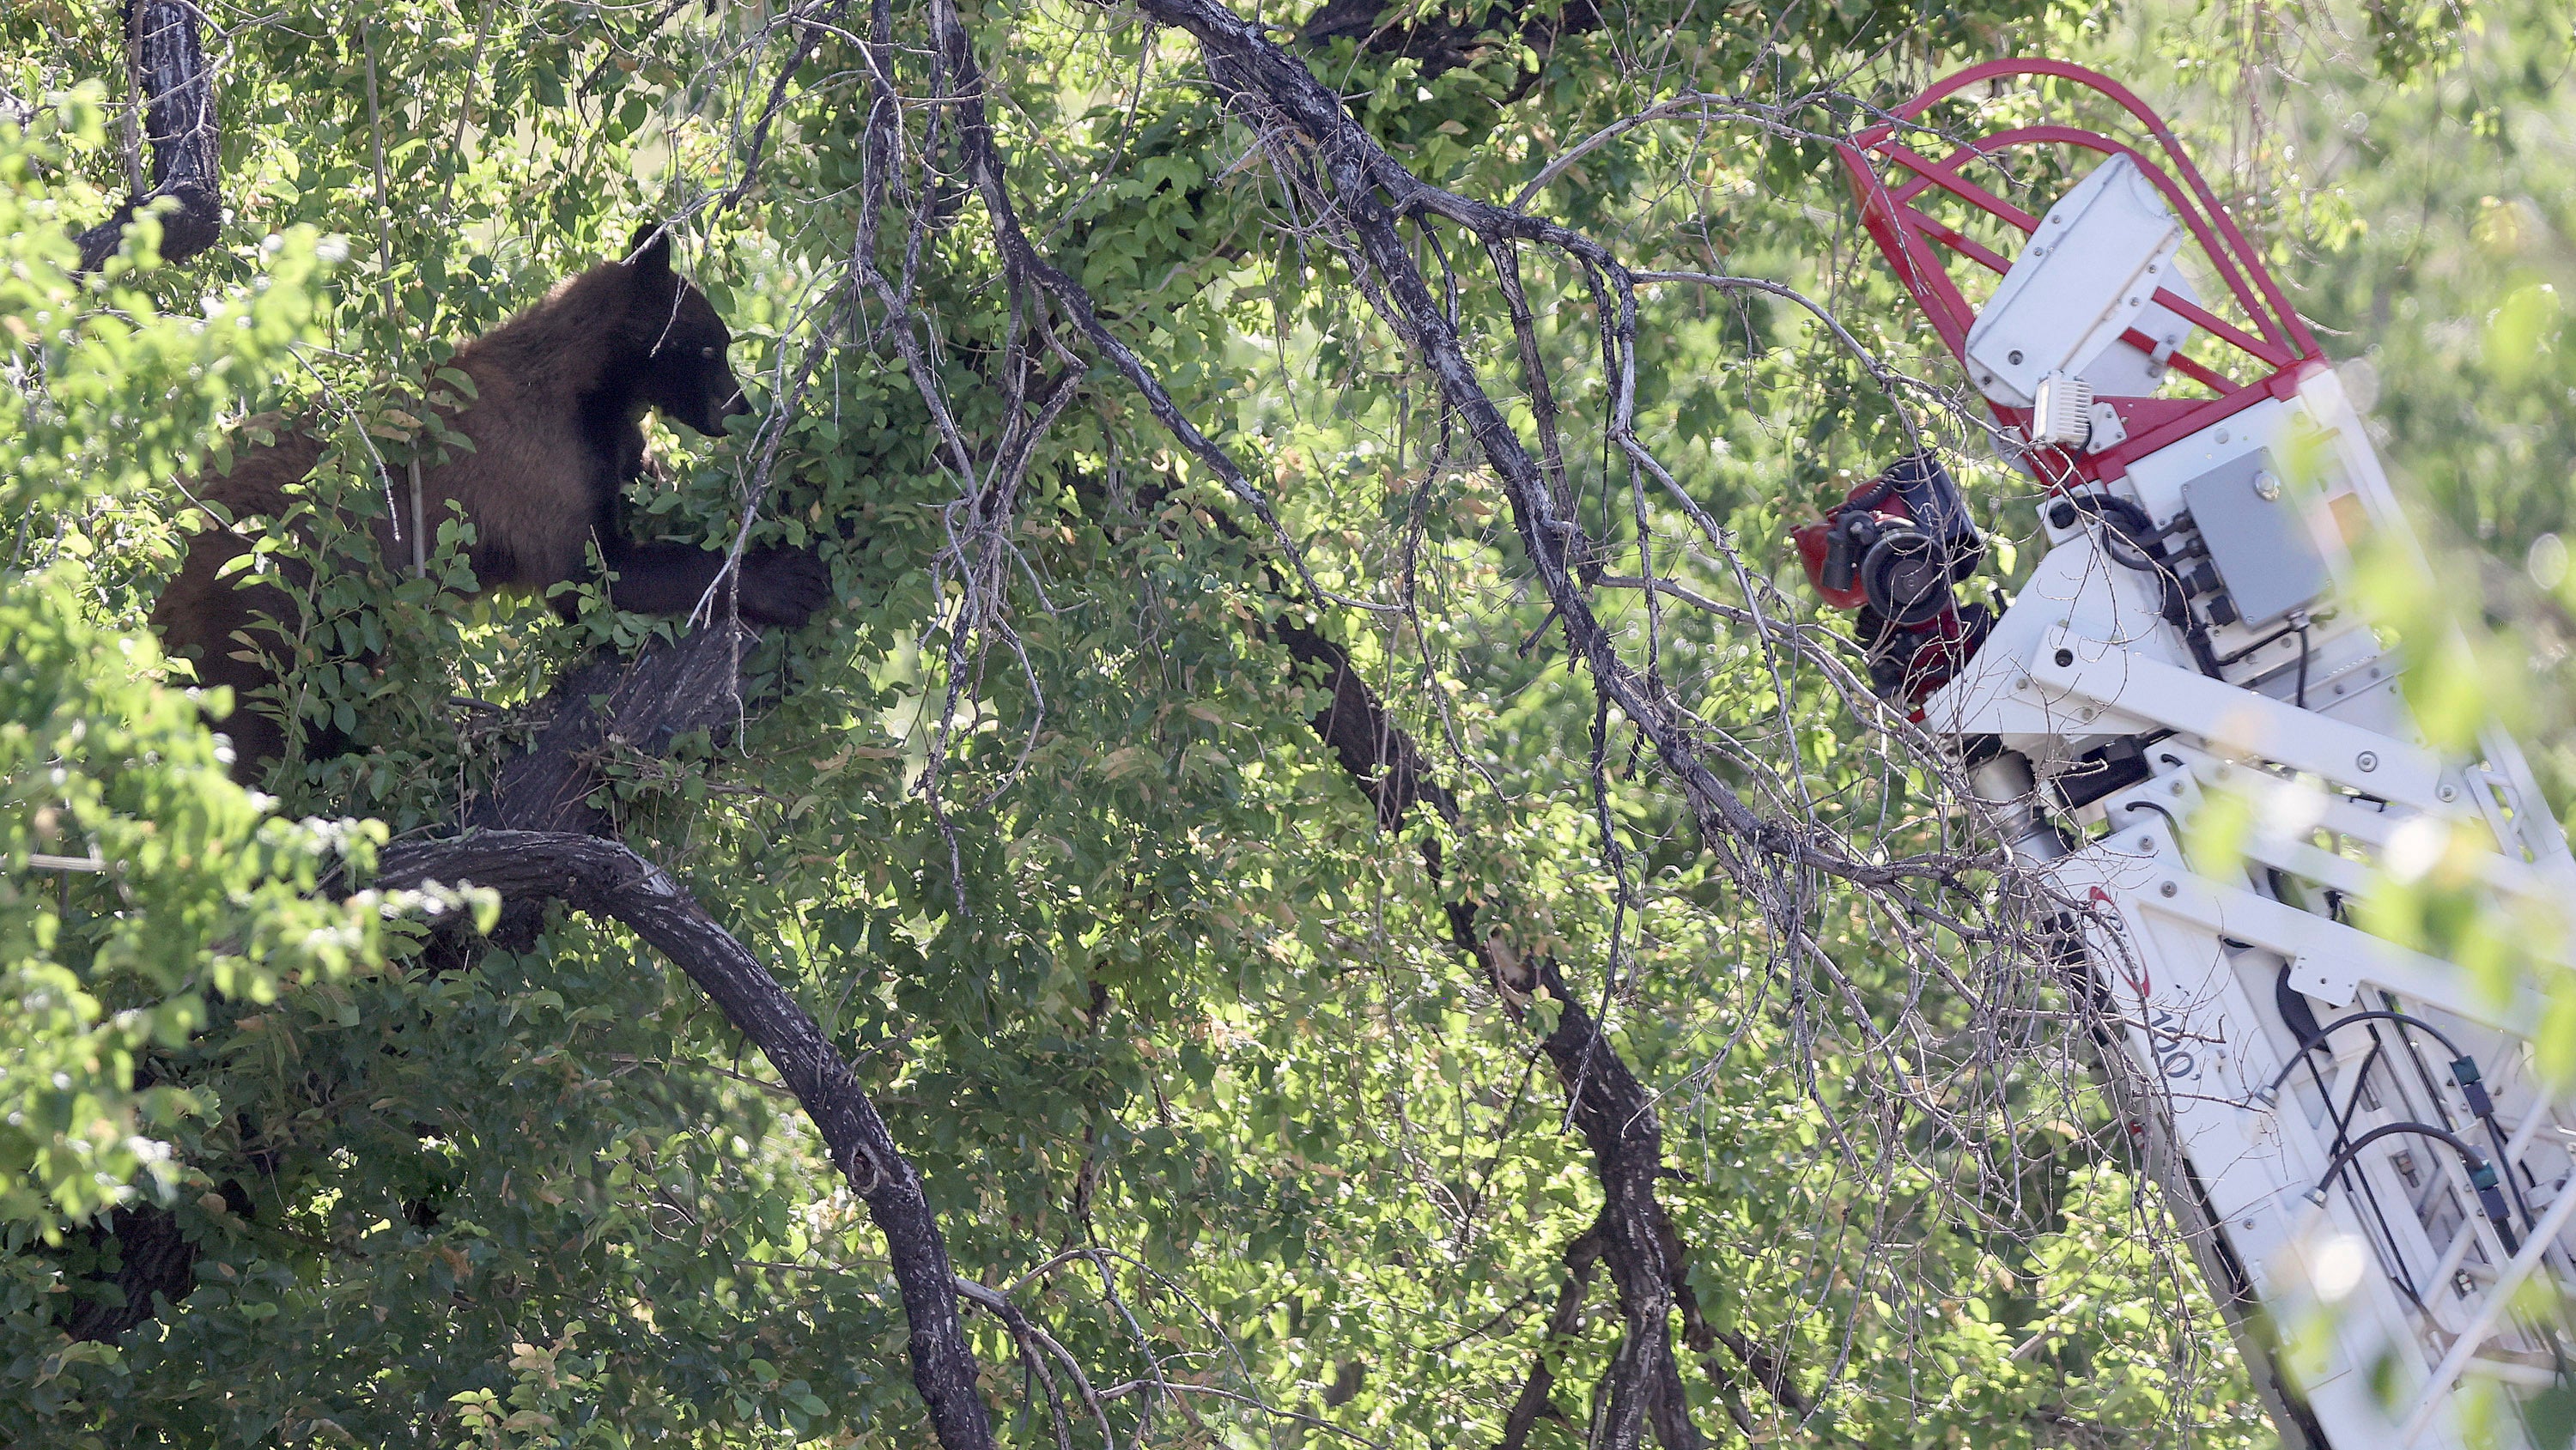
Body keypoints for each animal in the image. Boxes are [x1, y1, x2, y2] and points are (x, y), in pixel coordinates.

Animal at [151, 223, 830, 781]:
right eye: (713, 347)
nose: (738, 410)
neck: (590, 387)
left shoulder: (604, 441)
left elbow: (633, 486)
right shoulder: (535, 463)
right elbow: (593, 575)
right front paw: (787, 577)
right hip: (260, 601)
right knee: (255, 720)